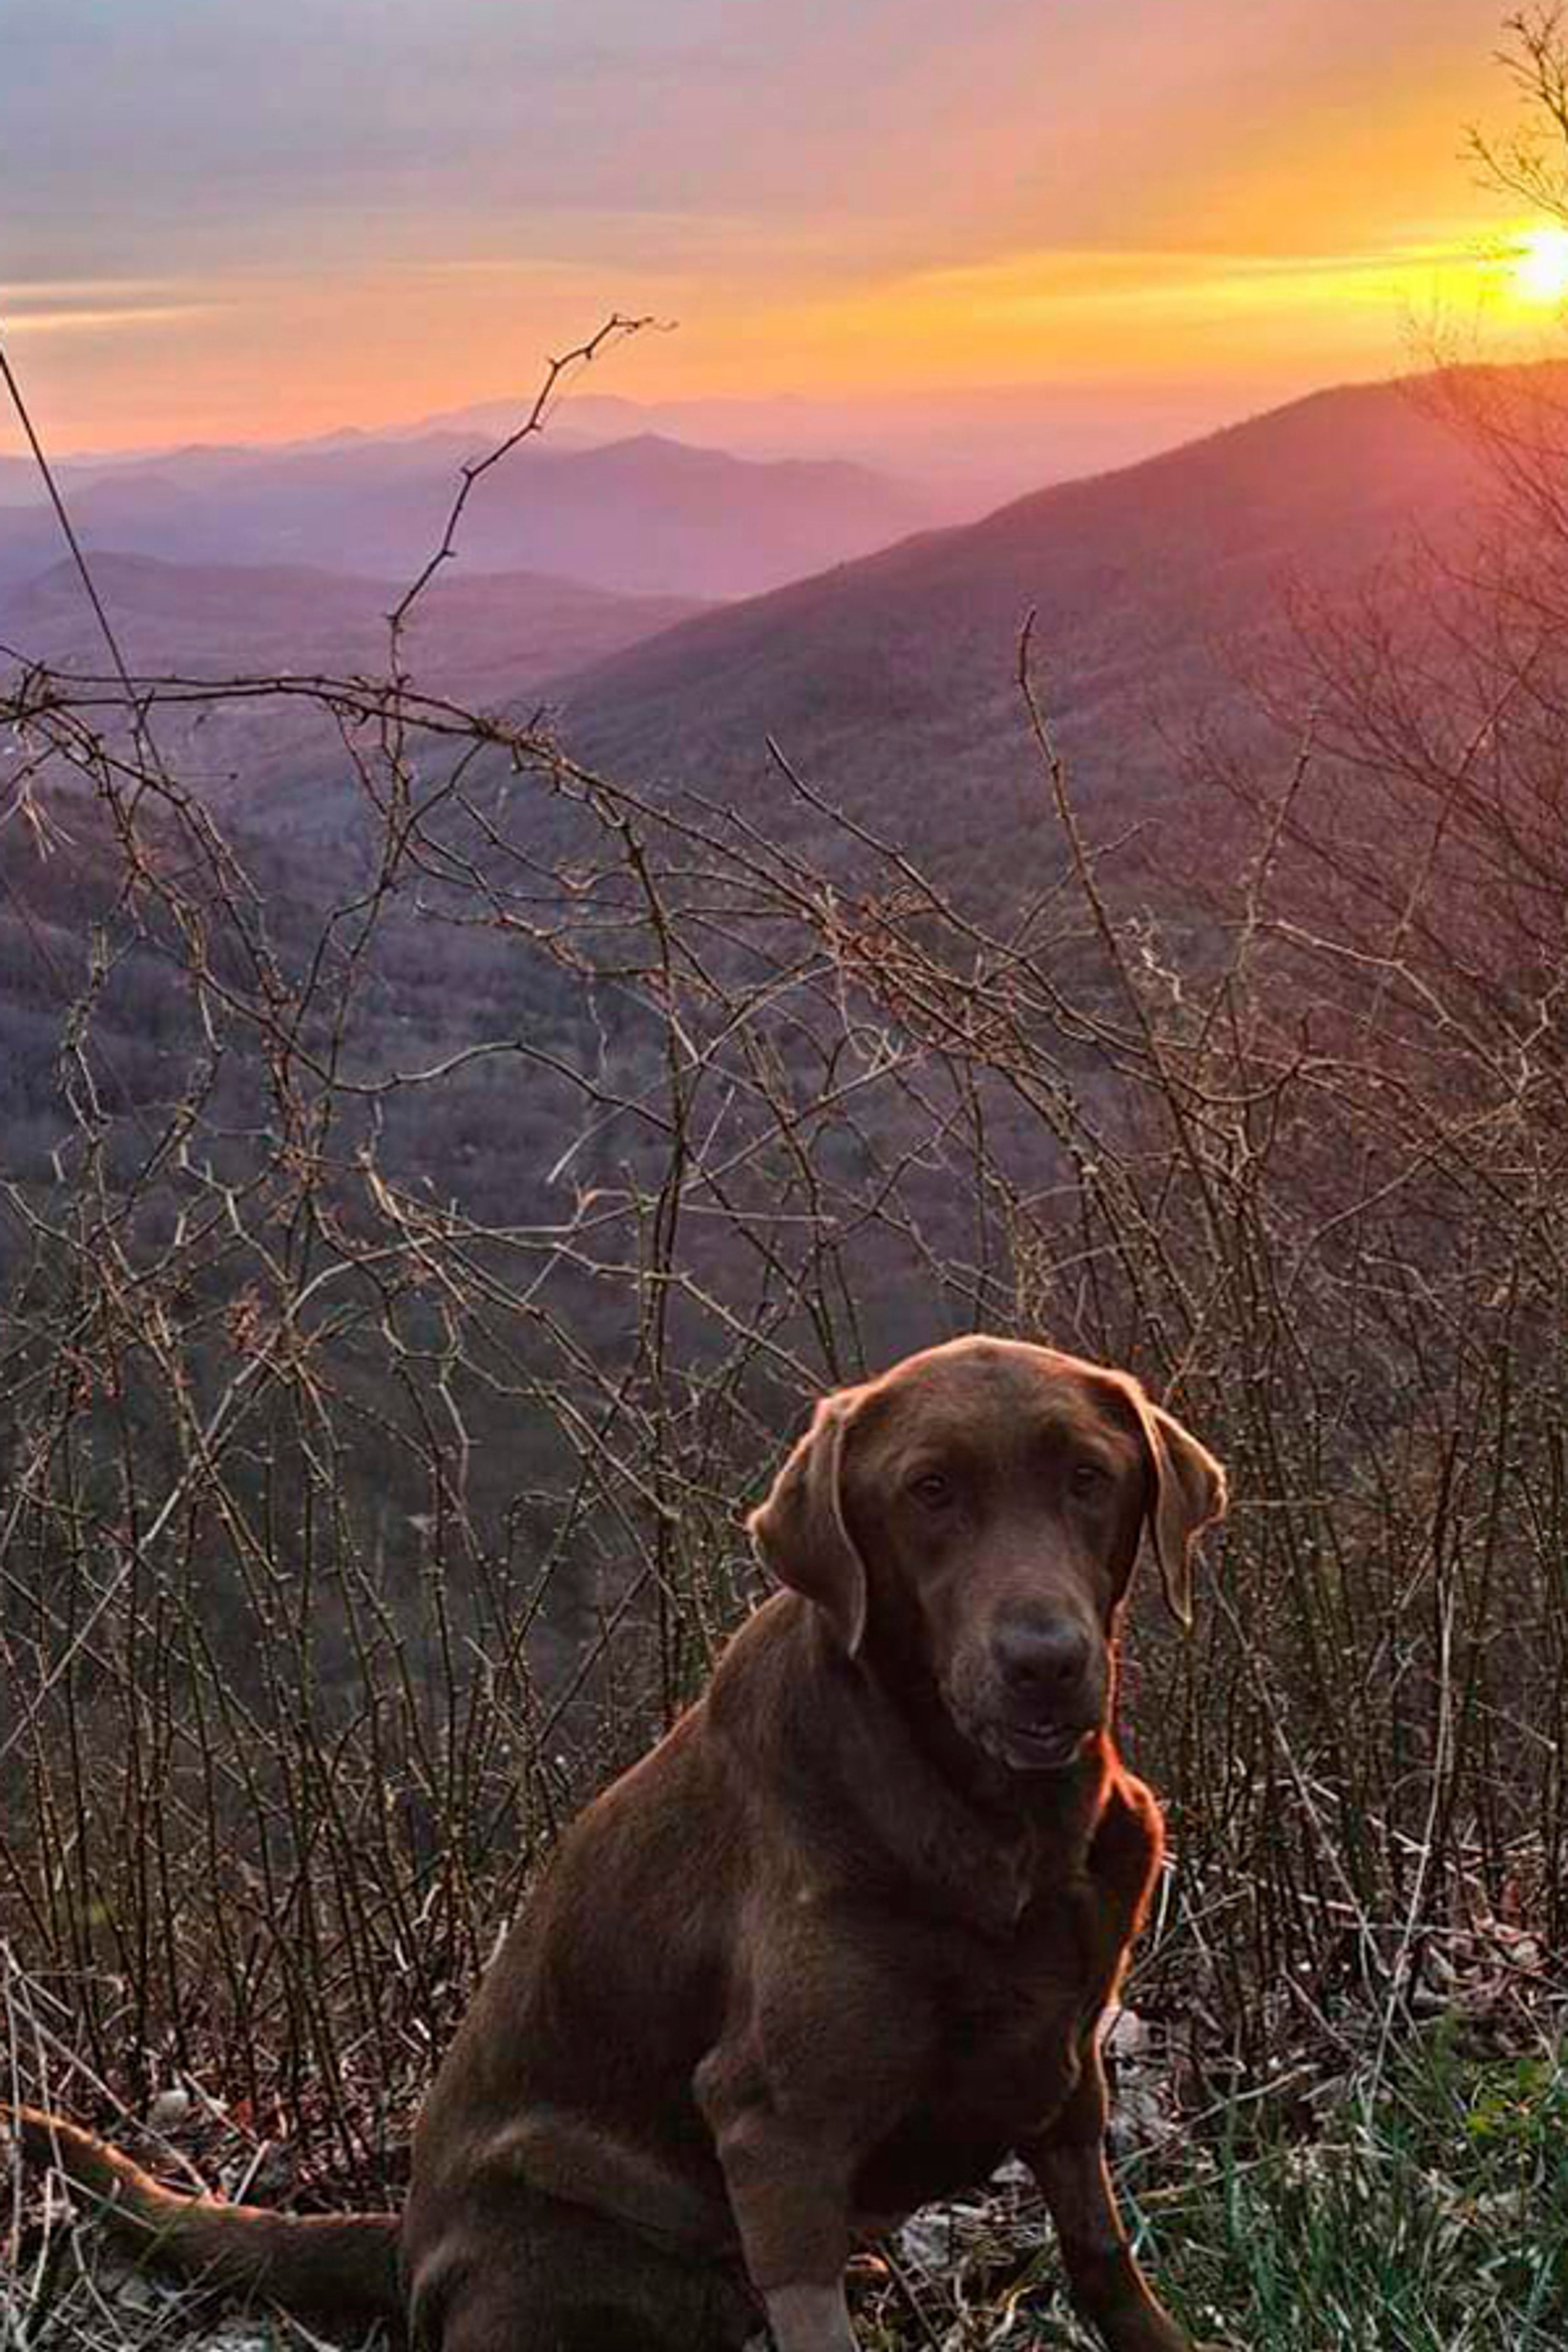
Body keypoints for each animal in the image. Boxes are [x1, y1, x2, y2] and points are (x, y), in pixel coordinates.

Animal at [15, 1345, 1241, 2352]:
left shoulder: (1066, 2055)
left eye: (1088, 1476)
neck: (1004, 1825)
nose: (1044, 1661)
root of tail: (404, 2237)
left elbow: (1102, 2255)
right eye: (928, 1491)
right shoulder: (773, 2125)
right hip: (569, 2247)